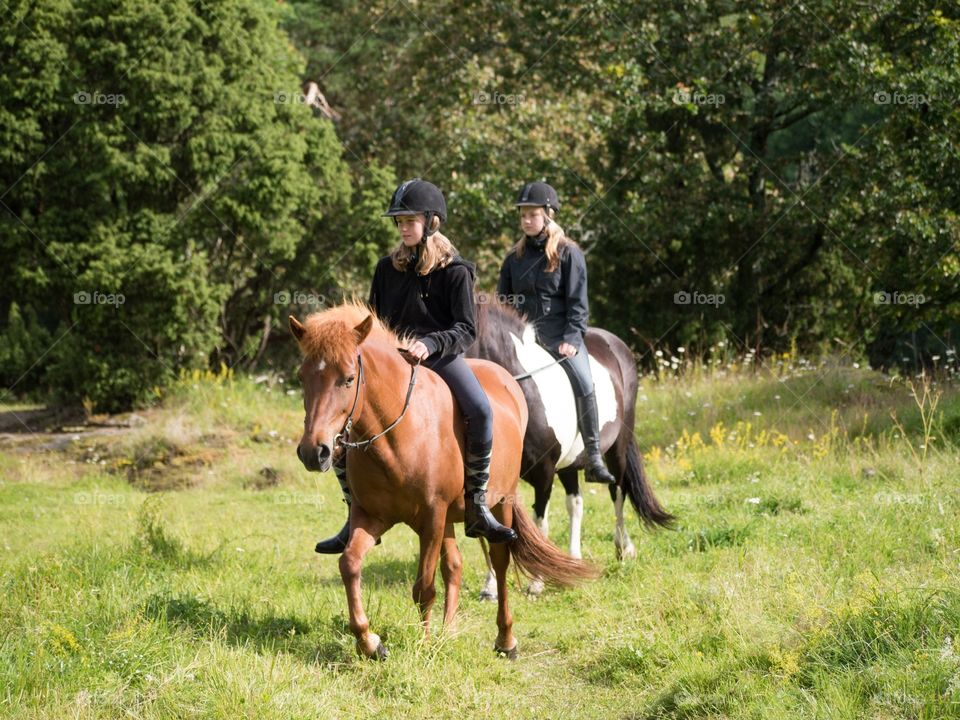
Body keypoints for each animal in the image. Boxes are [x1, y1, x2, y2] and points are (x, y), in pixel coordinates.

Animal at [289, 302, 597, 659]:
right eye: (302, 377)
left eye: (349, 378)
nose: (314, 452)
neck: (397, 433)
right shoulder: (372, 516)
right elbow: (350, 564)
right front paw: (370, 642)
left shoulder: (432, 517)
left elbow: (424, 586)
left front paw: (422, 646)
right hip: (450, 518)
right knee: (454, 565)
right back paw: (447, 633)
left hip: (499, 503)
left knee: (500, 561)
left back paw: (505, 640)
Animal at [465, 301, 674, 596]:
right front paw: (491, 586)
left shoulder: (544, 472)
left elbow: (540, 522)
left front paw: (537, 582)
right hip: (569, 463)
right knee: (575, 503)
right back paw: (575, 559)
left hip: (617, 448)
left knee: (618, 492)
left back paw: (623, 550)